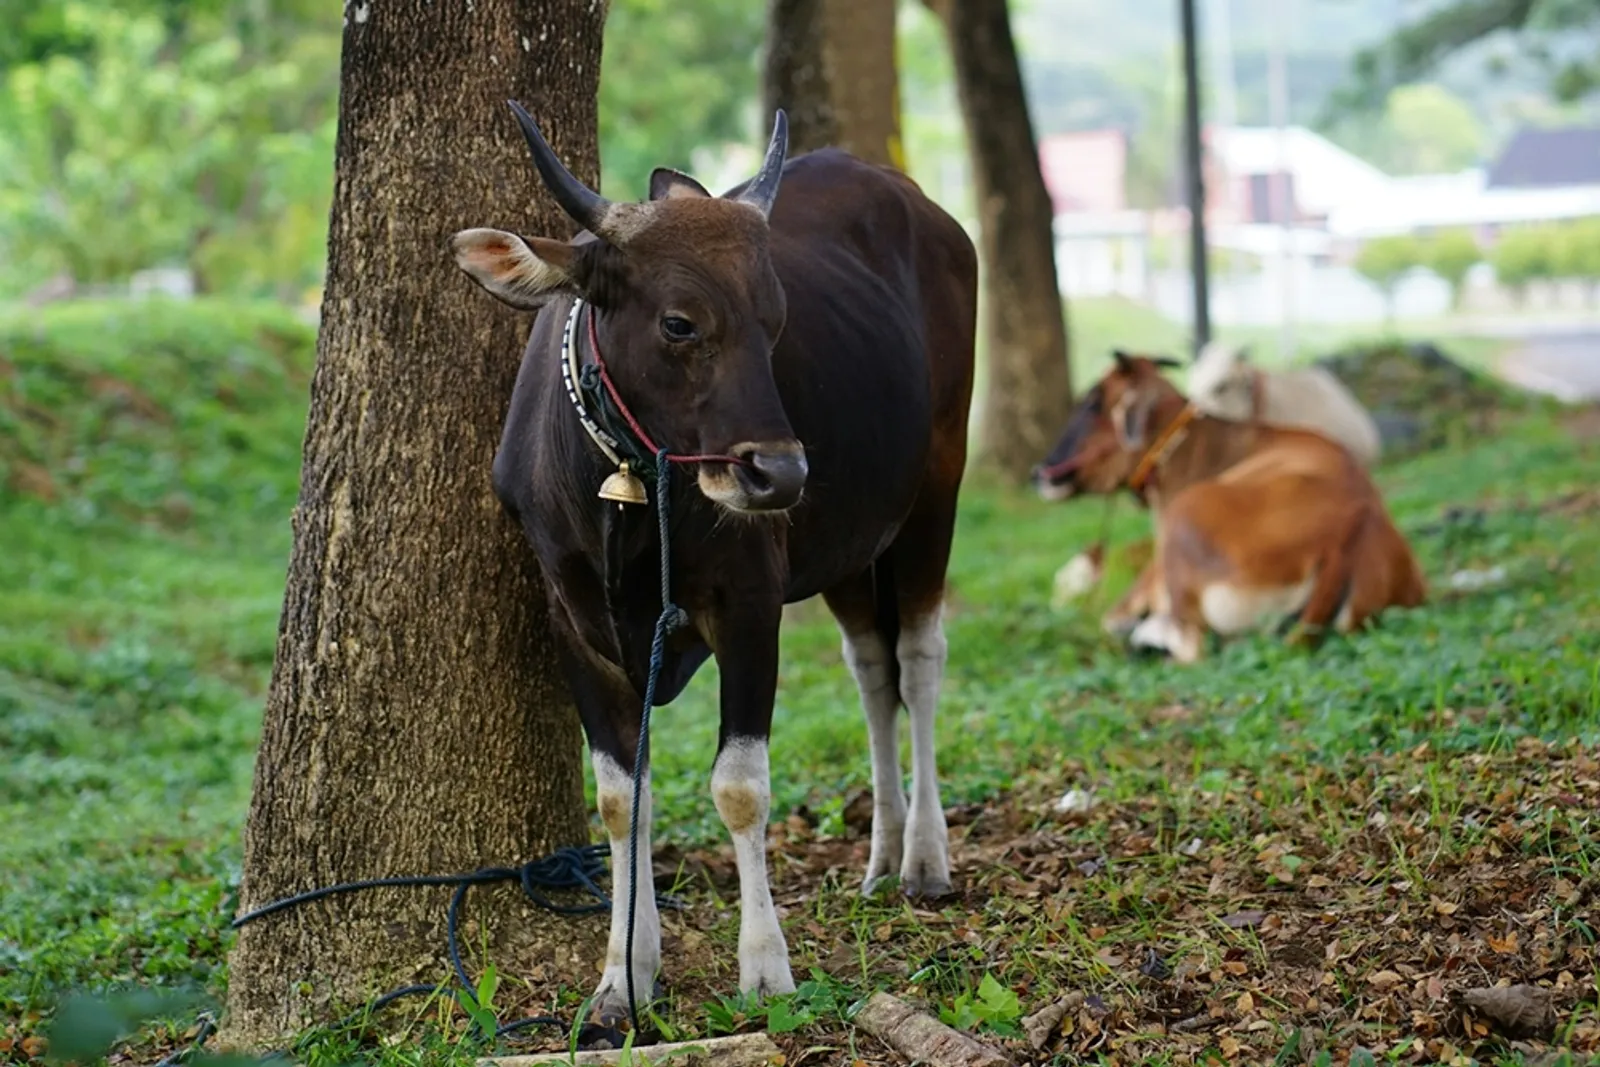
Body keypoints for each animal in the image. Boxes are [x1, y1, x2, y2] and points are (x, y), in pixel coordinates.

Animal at [451, 106, 972, 1017]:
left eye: (776, 319)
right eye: (679, 322)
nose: (781, 473)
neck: (630, 498)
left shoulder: (749, 603)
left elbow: (738, 785)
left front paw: (764, 964)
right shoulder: (572, 619)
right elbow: (621, 796)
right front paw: (623, 972)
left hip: (937, 486)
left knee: (918, 656)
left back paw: (923, 857)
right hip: (849, 543)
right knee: (872, 667)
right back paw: (880, 852)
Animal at [1036, 355, 1427, 662]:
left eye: (1091, 403)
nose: (1038, 472)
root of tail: (1348, 530)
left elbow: (1110, 619)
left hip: (1186, 520)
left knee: (1191, 647)